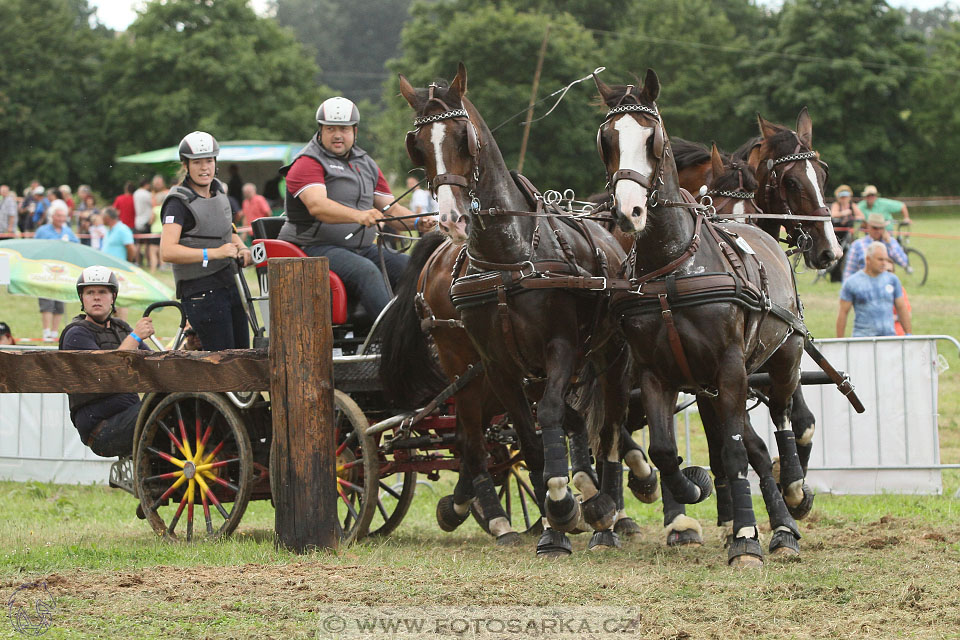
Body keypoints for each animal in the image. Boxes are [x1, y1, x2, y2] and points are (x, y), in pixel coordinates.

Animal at [386, 65, 640, 556]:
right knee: (475, 436)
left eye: (463, 137)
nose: (451, 219)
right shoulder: (498, 365)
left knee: (608, 429)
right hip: (470, 367)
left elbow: (552, 418)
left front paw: (572, 506)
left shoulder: (560, 349)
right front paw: (556, 514)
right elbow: (530, 437)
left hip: (611, 357)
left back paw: (606, 510)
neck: (509, 257)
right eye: (418, 144)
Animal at [596, 69, 808, 564]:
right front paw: (689, 491)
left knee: (783, 414)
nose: (629, 211)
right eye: (607, 140)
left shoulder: (730, 368)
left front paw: (746, 537)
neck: (671, 267)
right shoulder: (656, 373)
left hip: (783, 357)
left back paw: (790, 495)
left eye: (653, 138)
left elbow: (733, 452)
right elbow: (664, 449)